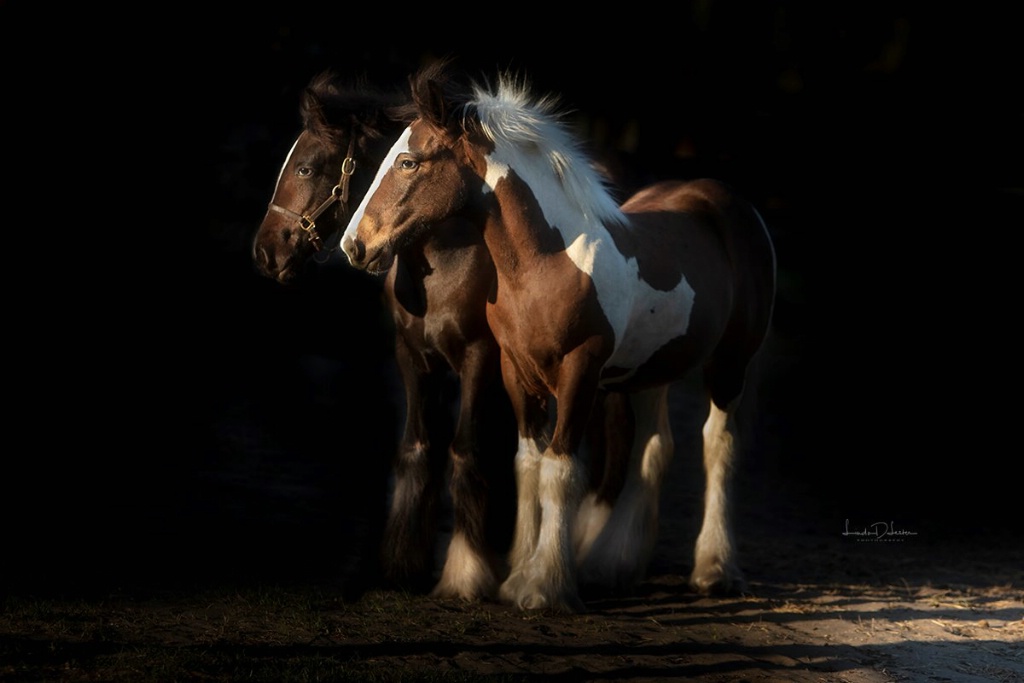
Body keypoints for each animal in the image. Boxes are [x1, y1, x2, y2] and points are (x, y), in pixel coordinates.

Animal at [249, 72, 520, 602]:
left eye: (307, 167)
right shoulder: (414, 358)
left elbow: (465, 451)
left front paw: (467, 571)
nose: (266, 252)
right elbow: (416, 448)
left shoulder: (478, 359)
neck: (449, 260)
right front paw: (401, 565)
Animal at [344, 63, 774, 614]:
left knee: (717, 446)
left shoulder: (578, 373)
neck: (548, 262)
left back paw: (714, 570)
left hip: (730, 364)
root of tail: (731, 204)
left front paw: (543, 585)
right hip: (657, 366)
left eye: (408, 161)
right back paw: (613, 565)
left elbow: (560, 470)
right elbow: (528, 466)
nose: (354, 245)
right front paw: (516, 577)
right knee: (654, 450)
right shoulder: (515, 370)